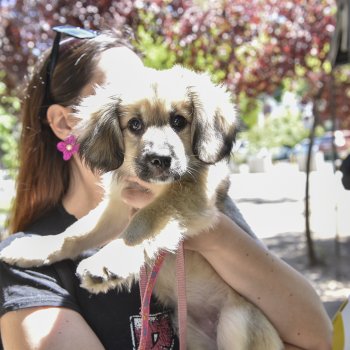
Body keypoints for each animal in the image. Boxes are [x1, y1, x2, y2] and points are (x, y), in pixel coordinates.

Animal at [0, 66, 284, 350]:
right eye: (135, 124)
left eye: (179, 121)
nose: (160, 159)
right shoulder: (116, 208)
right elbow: (74, 232)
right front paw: (35, 248)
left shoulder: (189, 194)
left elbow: (144, 222)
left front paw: (108, 261)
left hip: (237, 320)